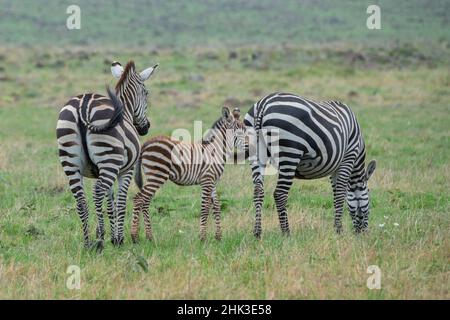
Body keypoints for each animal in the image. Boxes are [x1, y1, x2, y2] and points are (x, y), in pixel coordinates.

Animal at [56, 60, 158, 250]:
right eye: (146, 93)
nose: (146, 127)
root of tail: (83, 105)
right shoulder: (125, 170)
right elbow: (120, 202)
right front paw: (118, 238)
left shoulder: (102, 172)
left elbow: (110, 203)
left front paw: (109, 235)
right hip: (109, 158)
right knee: (97, 192)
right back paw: (99, 242)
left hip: (71, 161)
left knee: (81, 200)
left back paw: (88, 242)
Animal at [131, 106, 246, 241]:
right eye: (237, 132)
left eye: (245, 130)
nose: (249, 147)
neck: (215, 151)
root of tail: (146, 143)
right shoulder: (207, 180)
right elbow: (205, 207)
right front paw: (202, 237)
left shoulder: (213, 182)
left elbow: (217, 206)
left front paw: (218, 236)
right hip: (157, 175)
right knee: (139, 199)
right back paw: (134, 237)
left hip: (152, 176)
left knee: (145, 201)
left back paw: (149, 237)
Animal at [243, 92, 376, 238]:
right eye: (369, 201)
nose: (363, 234)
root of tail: (263, 104)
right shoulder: (348, 157)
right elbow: (341, 194)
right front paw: (338, 230)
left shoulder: (335, 169)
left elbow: (336, 195)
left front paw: (337, 228)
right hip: (290, 153)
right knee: (280, 194)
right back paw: (286, 233)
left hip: (255, 153)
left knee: (258, 191)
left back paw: (257, 232)